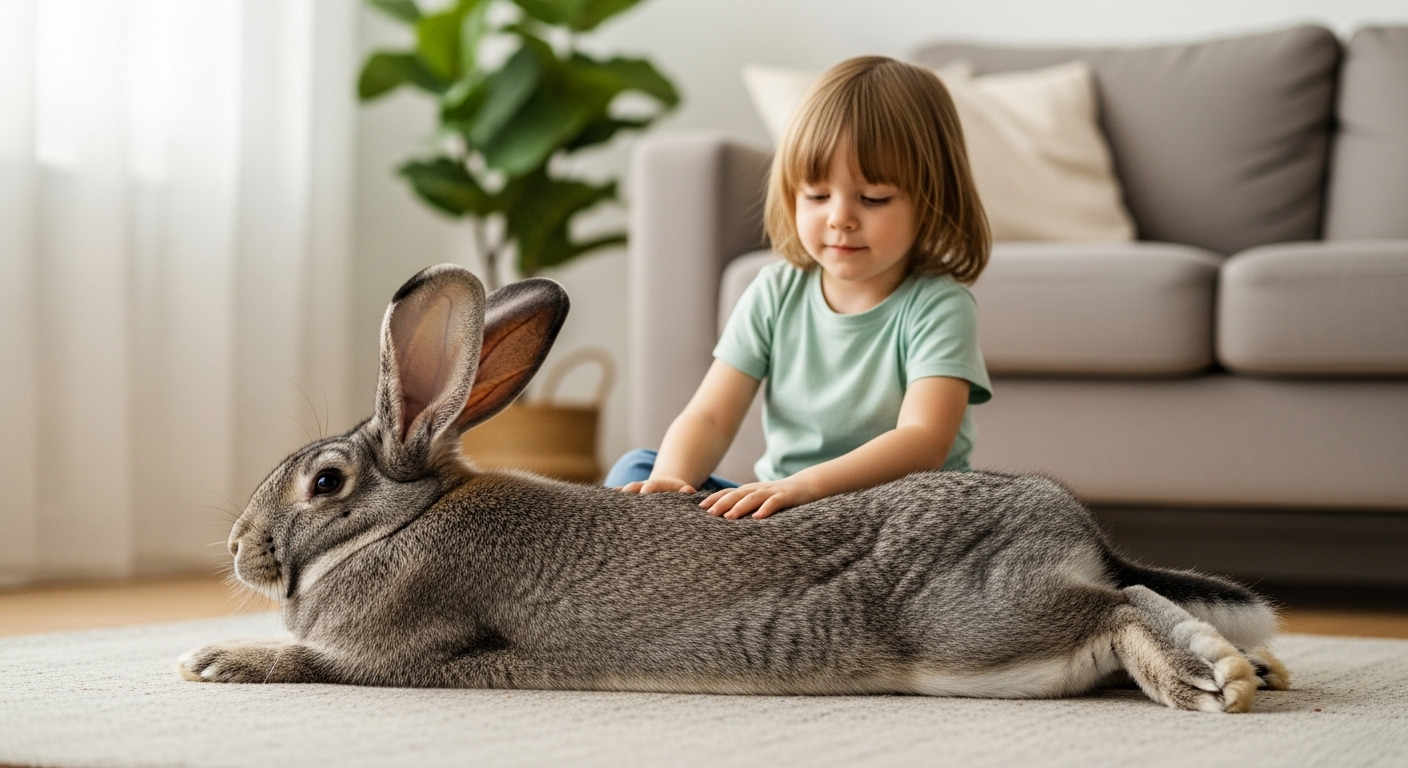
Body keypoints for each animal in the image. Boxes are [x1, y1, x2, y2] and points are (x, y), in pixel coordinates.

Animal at [179, 263, 1289, 713]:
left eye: (325, 482)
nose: (234, 548)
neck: (397, 521)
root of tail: (1075, 528)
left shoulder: (389, 652)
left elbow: (310, 665)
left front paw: (214, 660)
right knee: (1129, 602)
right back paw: (1246, 669)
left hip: (977, 629)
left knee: (1119, 607)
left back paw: (1210, 680)